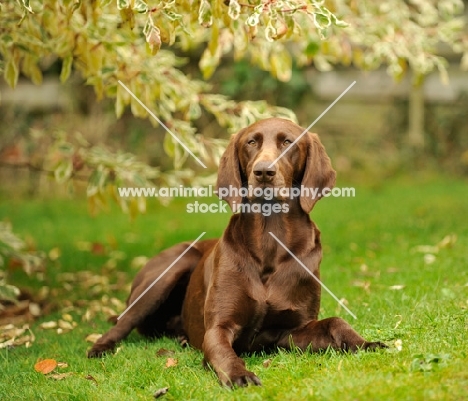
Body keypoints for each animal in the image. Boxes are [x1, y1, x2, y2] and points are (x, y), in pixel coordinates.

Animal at [89, 118, 386, 384]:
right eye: (251, 142)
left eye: (288, 143)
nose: (264, 172)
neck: (270, 238)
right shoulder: (219, 328)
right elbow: (223, 353)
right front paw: (239, 374)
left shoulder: (291, 331)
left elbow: (336, 321)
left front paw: (366, 343)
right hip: (170, 269)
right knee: (122, 322)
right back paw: (100, 347)